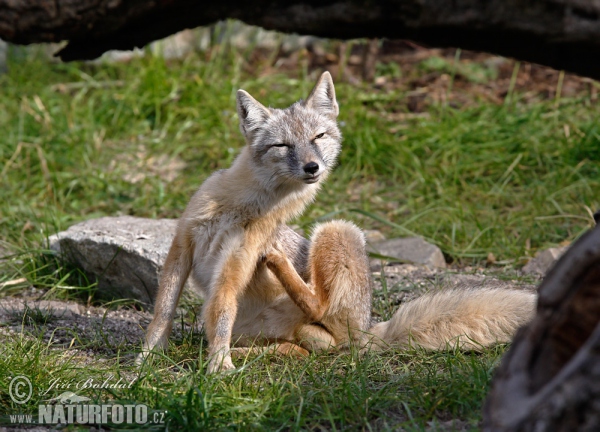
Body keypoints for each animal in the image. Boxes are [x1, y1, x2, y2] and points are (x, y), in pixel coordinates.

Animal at [139, 71, 536, 372]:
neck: (237, 205)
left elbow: (220, 310)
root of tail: (368, 329)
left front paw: (218, 366)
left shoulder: (236, 261)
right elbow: (163, 310)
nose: (312, 167)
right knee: (299, 349)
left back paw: (275, 276)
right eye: (282, 145)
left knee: (317, 310)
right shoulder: (183, 245)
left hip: (335, 229)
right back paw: (243, 353)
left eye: (318, 137)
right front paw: (148, 356)